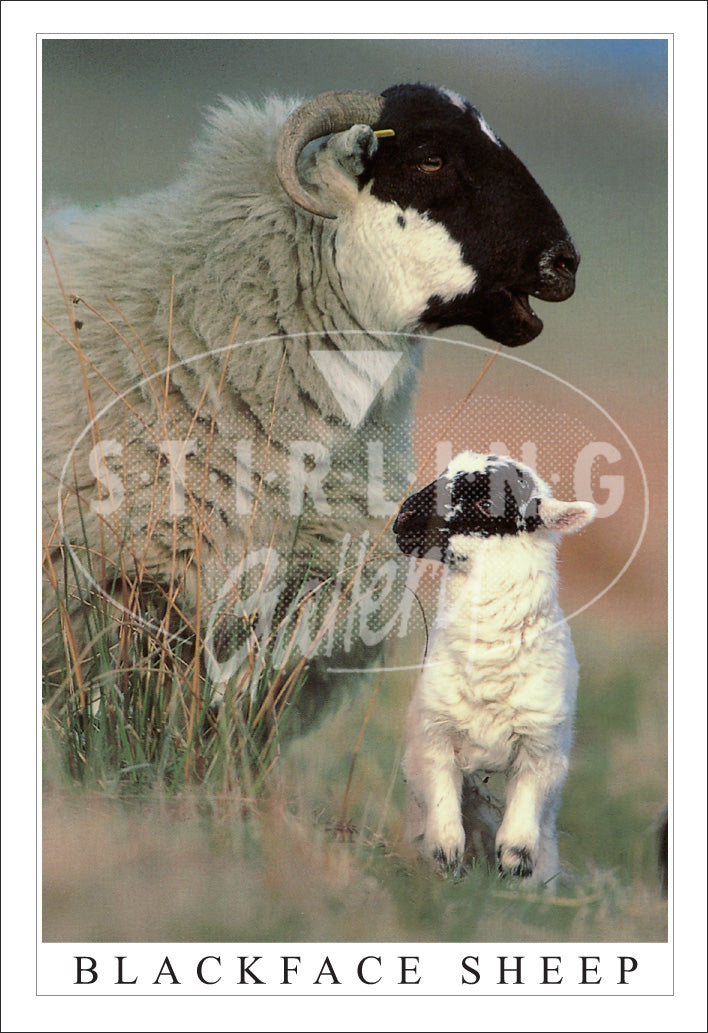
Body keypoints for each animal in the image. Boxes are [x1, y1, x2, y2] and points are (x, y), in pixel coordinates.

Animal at [393, 451, 596, 881]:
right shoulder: (433, 737)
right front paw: (447, 867)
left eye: (488, 505)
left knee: (545, 833)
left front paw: (512, 874)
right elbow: (445, 826)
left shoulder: (542, 751)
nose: (403, 519)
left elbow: (518, 842)